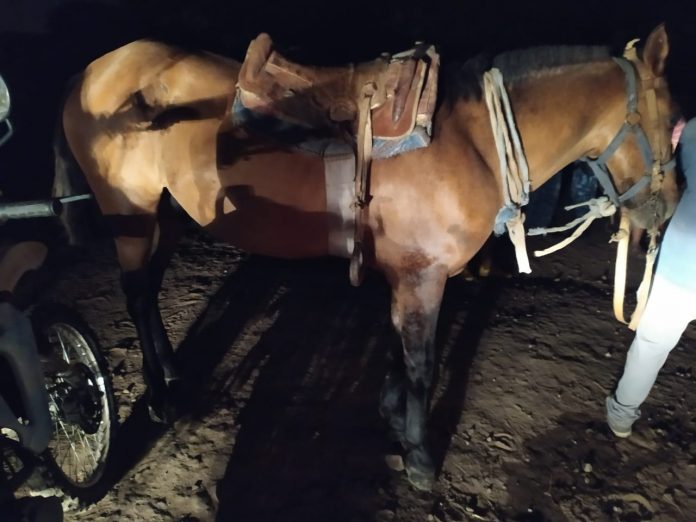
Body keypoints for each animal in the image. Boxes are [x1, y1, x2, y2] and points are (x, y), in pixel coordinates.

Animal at [53, 24, 678, 490]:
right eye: (671, 125)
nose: (669, 206)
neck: (472, 143)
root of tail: (93, 72)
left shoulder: (407, 275)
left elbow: (398, 348)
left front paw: (390, 411)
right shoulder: (423, 277)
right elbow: (422, 363)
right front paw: (420, 456)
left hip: (170, 214)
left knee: (150, 292)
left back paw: (172, 374)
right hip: (131, 216)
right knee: (137, 294)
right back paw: (161, 399)